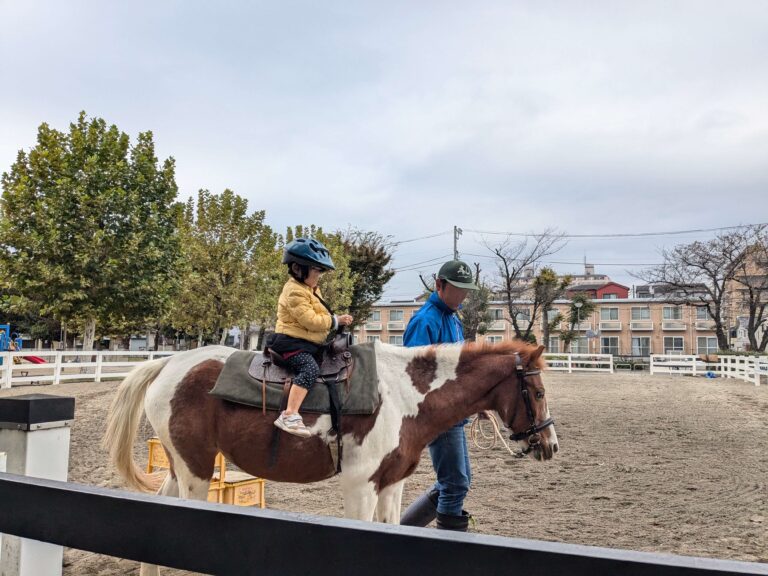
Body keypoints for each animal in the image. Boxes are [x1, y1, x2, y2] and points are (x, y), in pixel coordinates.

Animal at [103, 342, 560, 576]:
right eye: (537, 392)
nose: (550, 445)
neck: (402, 394)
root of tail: (168, 363)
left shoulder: (391, 485)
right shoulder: (360, 485)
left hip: (181, 468)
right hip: (195, 472)